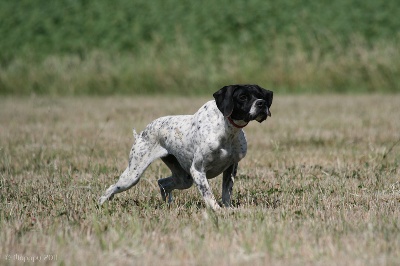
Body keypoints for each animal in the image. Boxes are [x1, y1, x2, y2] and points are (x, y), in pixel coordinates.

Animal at [99, 83, 274, 210]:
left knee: (162, 183)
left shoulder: (230, 168)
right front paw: (218, 211)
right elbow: (209, 196)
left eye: (261, 96)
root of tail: (141, 134)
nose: (262, 104)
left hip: (184, 179)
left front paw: (228, 209)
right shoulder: (198, 171)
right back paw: (101, 204)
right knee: (110, 189)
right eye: (243, 97)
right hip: (132, 175)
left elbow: (226, 194)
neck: (227, 130)